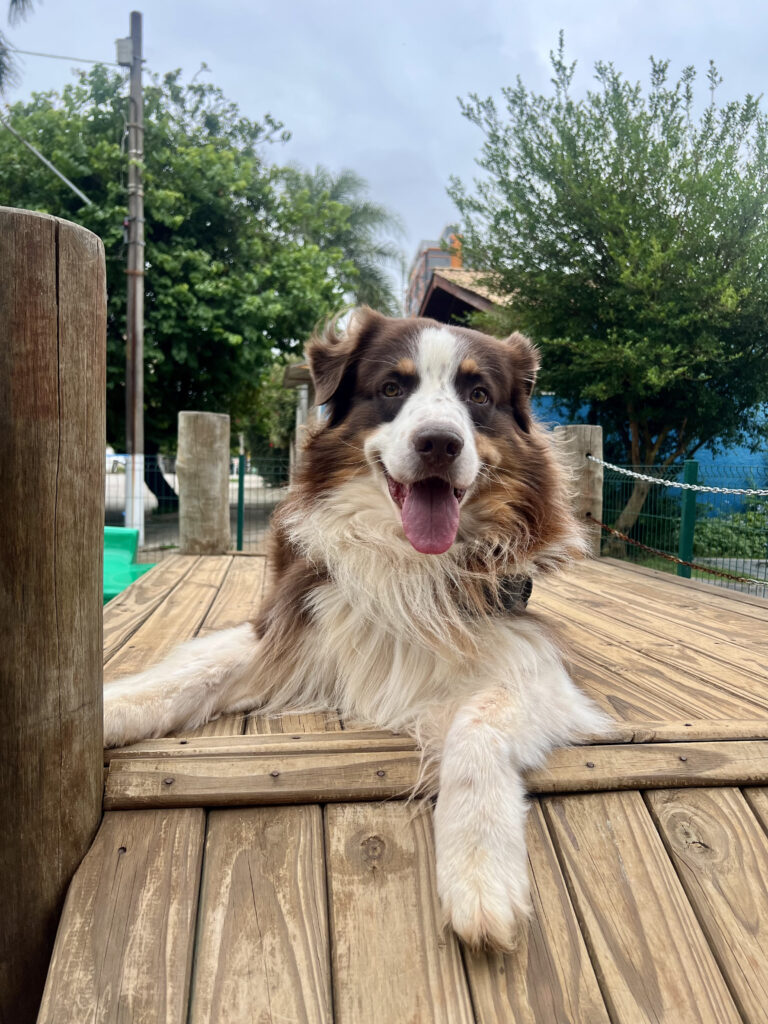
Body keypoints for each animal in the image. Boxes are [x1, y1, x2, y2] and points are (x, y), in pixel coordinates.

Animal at [104, 308, 607, 950]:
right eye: (392, 388)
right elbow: (188, 673)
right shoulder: (293, 621)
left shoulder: (530, 654)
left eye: (478, 395)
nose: (439, 443)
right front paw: (108, 708)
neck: (405, 557)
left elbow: (478, 725)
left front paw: (480, 873)